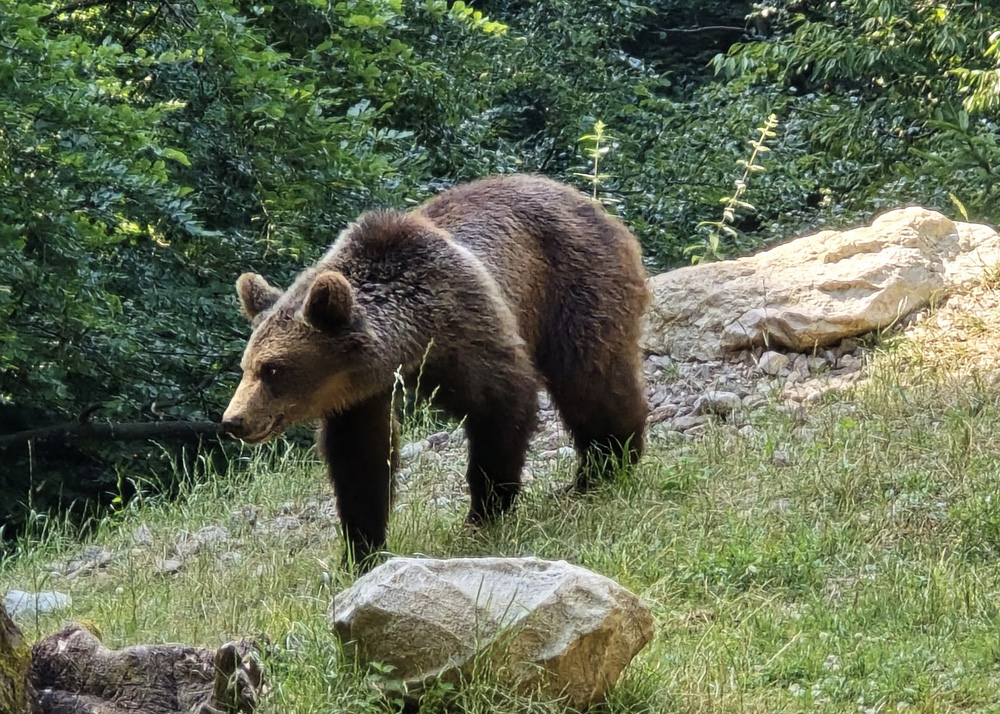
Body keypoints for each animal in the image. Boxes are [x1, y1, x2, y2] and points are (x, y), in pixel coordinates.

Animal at [221, 175, 648, 564]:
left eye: (273, 369)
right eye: (246, 366)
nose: (234, 420)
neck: (412, 336)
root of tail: (592, 204)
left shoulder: (465, 325)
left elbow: (501, 403)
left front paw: (483, 513)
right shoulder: (359, 392)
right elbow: (361, 457)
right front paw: (361, 548)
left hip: (572, 283)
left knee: (590, 375)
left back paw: (605, 466)